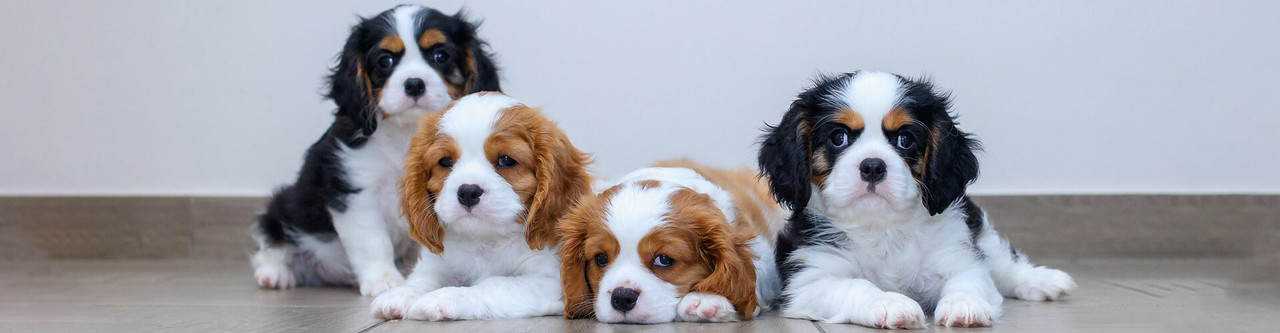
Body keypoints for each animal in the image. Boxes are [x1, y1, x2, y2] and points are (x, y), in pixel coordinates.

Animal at [249, 4, 499, 297]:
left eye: (441, 55)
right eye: (384, 60)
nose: (414, 84)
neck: (405, 133)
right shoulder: (356, 192)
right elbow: (372, 241)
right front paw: (384, 280)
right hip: (284, 205)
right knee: (271, 245)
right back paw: (275, 273)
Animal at [368, 92, 591, 321]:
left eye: (506, 160)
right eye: (445, 161)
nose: (468, 192)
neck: (484, 240)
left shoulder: (550, 282)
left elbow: (495, 283)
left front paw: (444, 297)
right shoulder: (438, 264)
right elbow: (423, 278)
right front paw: (402, 293)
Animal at [757, 70, 1080, 327]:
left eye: (905, 140)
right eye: (839, 137)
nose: (872, 166)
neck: (883, 228)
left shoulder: (959, 256)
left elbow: (968, 280)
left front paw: (964, 305)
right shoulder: (809, 280)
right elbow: (856, 286)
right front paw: (889, 303)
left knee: (1003, 262)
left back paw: (1042, 281)